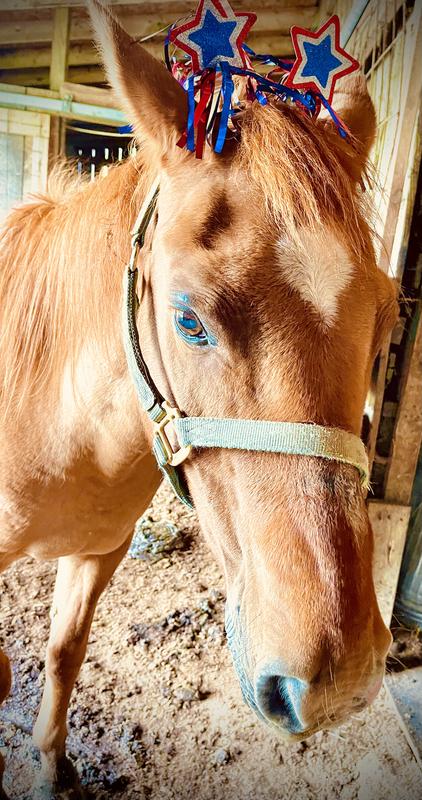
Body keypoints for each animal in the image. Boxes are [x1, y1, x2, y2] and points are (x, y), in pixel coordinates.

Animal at [0, 1, 398, 796]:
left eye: (385, 318)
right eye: (189, 321)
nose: (336, 685)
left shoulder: (99, 551)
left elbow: (62, 655)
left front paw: (52, 767)